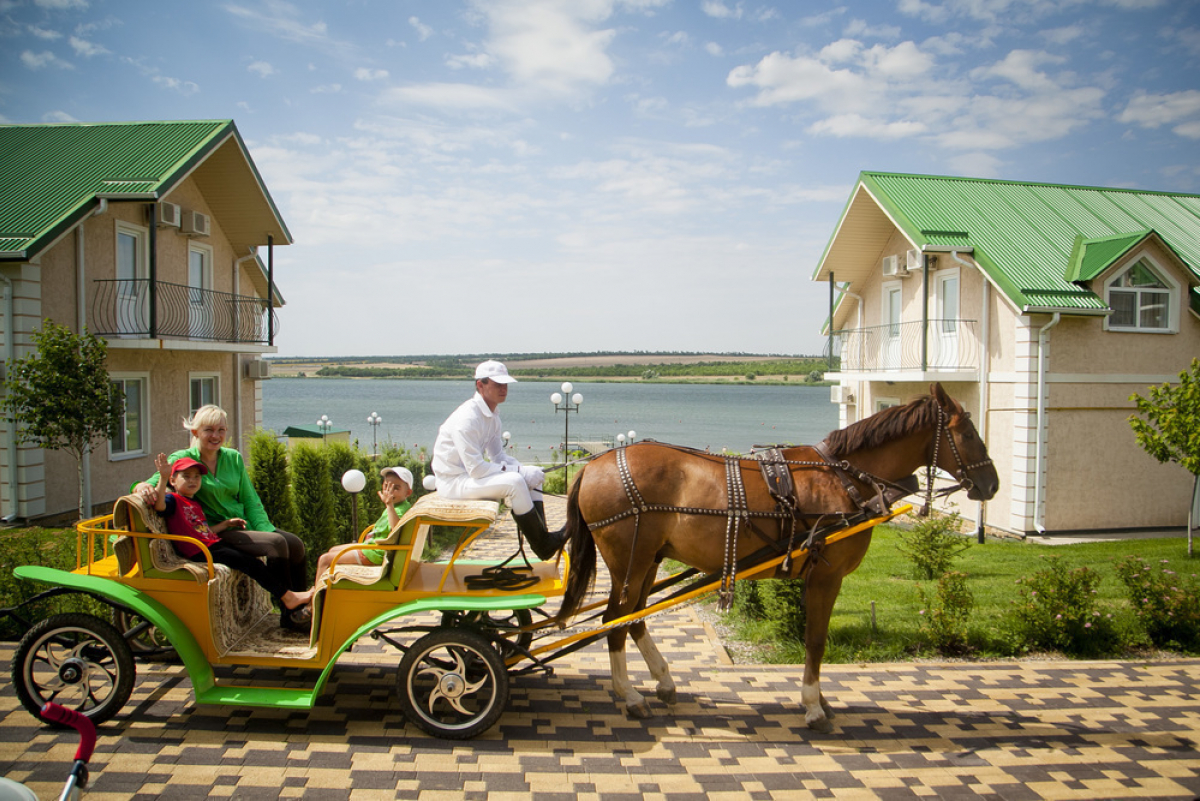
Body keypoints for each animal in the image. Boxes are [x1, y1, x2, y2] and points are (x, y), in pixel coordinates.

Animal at [556, 381, 998, 733]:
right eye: (968, 433)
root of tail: (592, 464)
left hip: (649, 561)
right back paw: (630, 696)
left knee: (633, 619)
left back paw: (663, 681)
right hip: (629, 563)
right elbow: (816, 639)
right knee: (614, 621)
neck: (843, 478)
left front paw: (820, 701)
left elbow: (813, 638)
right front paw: (813, 706)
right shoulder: (827, 576)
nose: (991, 483)